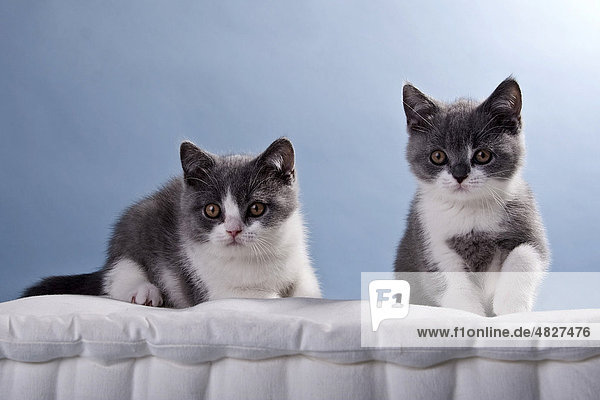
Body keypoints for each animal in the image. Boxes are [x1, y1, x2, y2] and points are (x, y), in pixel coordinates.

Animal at [22, 138, 324, 306]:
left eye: (257, 208)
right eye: (212, 210)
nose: (233, 230)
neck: (256, 258)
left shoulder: (299, 266)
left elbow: (306, 291)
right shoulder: (214, 289)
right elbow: (264, 298)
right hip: (135, 226)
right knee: (117, 273)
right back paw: (143, 291)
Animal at [396, 78, 552, 316]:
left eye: (482, 155)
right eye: (438, 156)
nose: (460, 174)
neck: (470, 210)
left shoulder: (528, 220)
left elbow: (527, 254)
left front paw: (511, 308)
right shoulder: (429, 239)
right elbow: (450, 283)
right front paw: (470, 315)